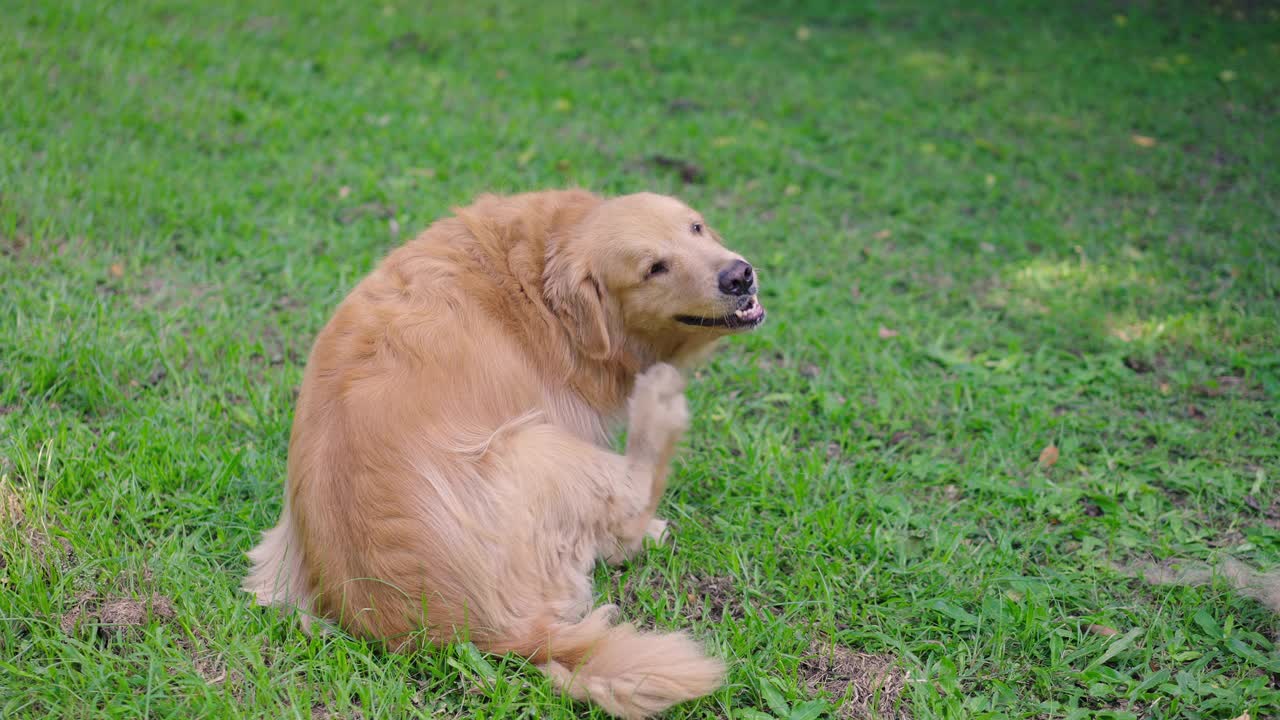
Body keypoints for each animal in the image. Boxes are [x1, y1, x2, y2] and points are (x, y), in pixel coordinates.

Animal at [244, 188, 762, 712]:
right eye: (654, 268)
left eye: (695, 227)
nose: (739, 274)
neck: (536, 280)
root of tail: (486, 632)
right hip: (540, 445)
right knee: (630, 497)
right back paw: (660, 411)